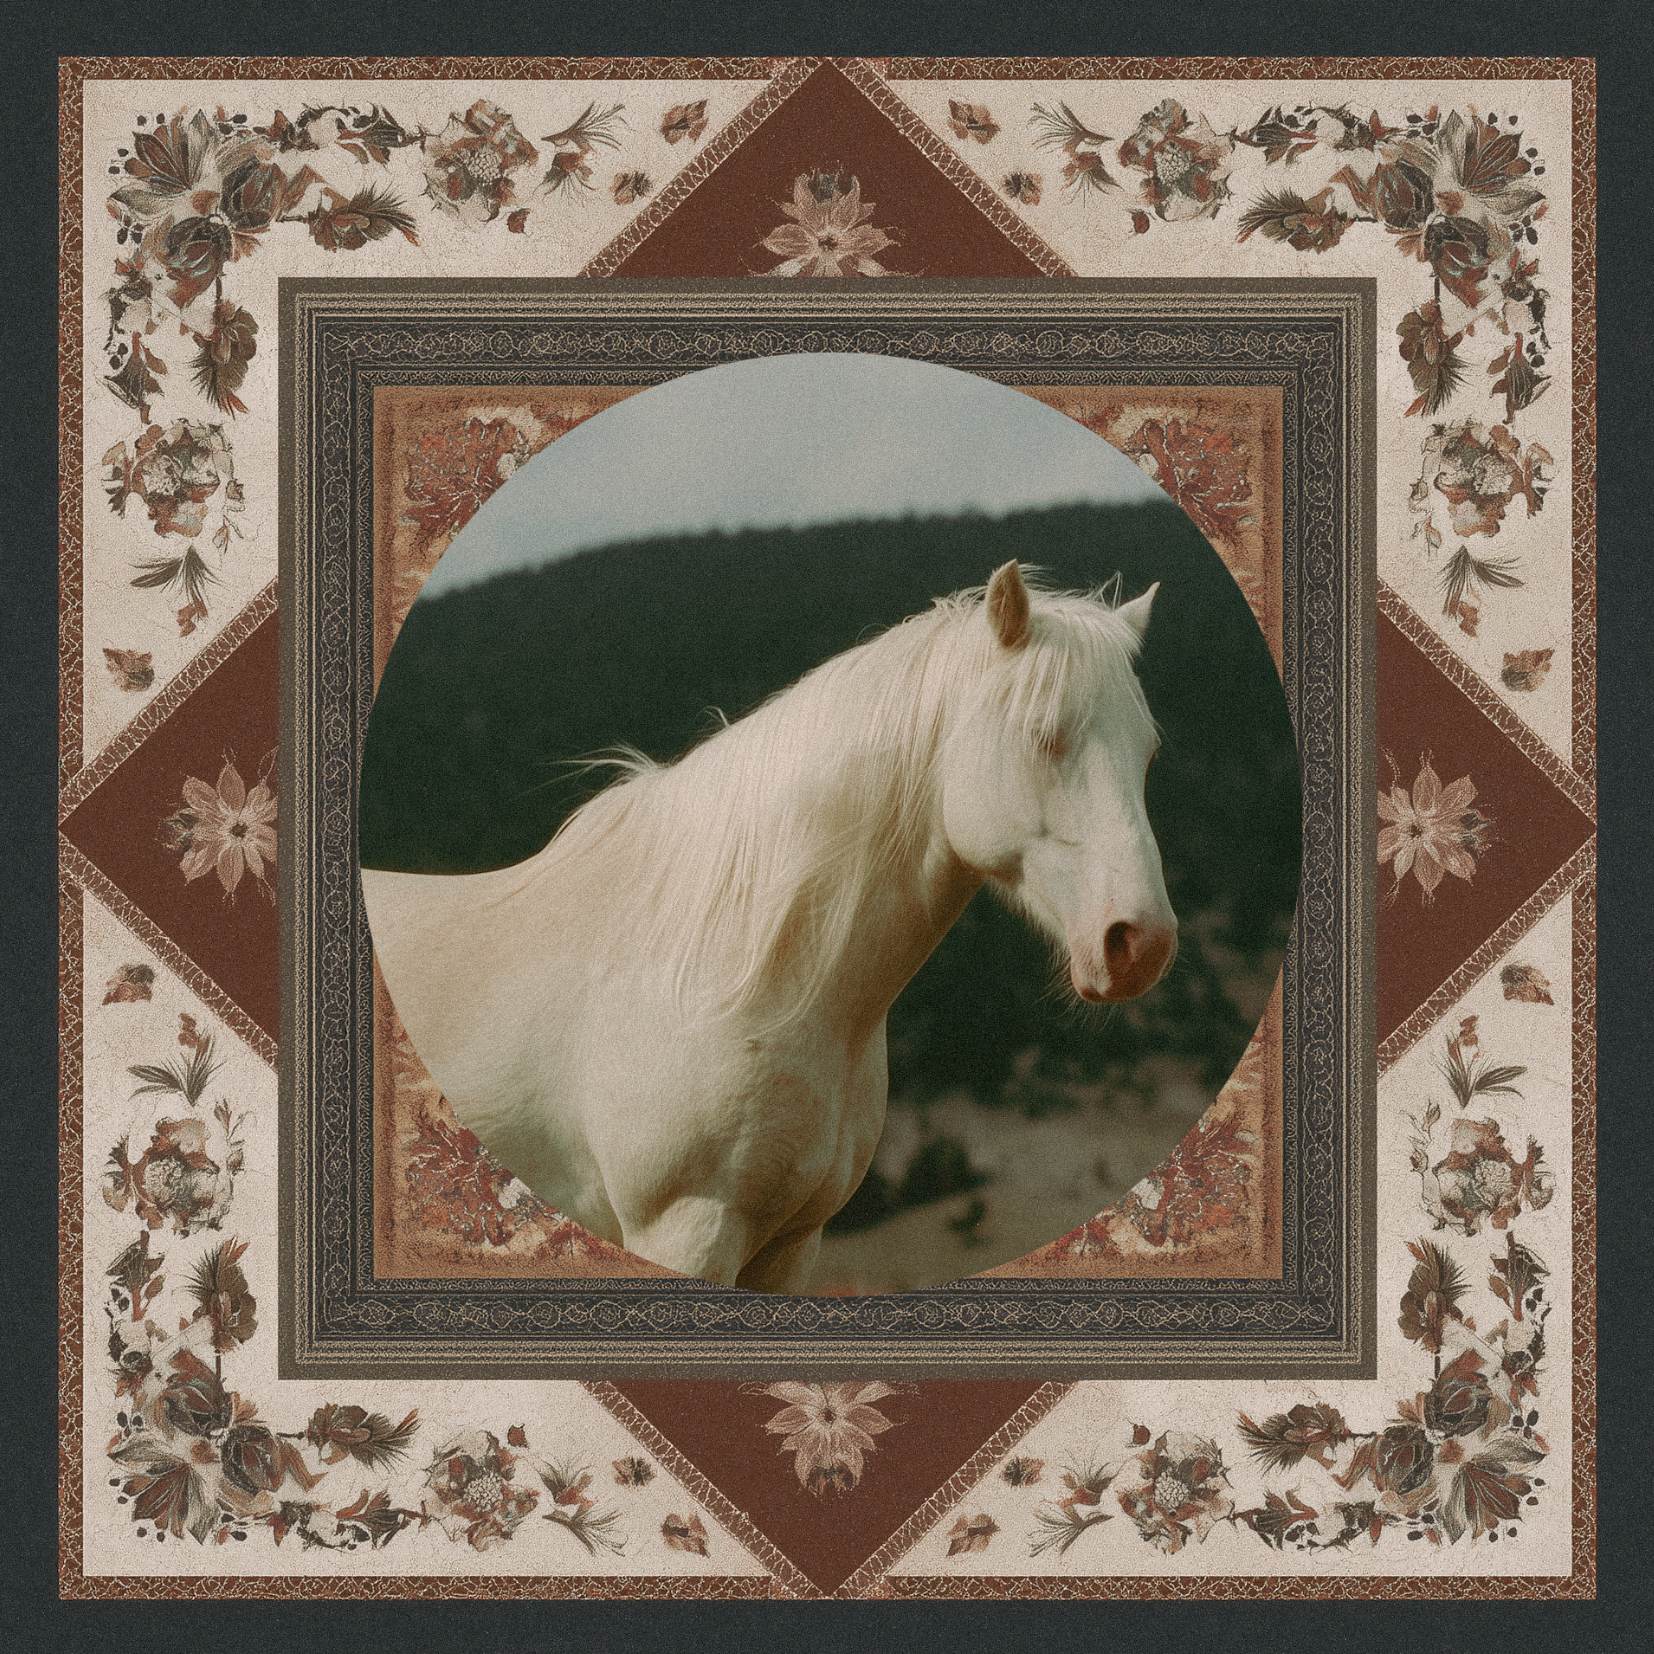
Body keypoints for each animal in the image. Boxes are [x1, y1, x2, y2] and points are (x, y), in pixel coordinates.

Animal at [361, 560, 1178, 1292]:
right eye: (1044, 735)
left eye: (1148, 752)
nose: (1142, 943)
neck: (722, 969)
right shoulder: (685, 1229)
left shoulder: (791, 1244)